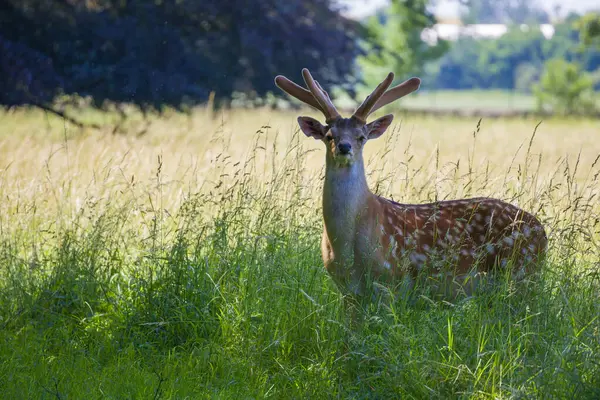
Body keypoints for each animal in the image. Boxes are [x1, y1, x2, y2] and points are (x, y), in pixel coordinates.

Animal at [274, 69, 548, 304]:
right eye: (329, 136)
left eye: (361, 136)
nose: (344, 147)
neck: (346, 247)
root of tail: (543, 232)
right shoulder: (347, 290)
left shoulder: (390, 281)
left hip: (521, 273)